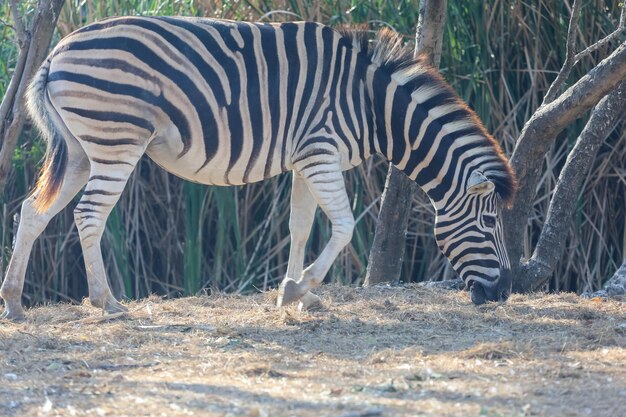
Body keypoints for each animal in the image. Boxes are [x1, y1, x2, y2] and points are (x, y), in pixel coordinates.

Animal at [1, 17, 516, 318]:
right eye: (489, 224)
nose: (505, 293)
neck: (373, 108)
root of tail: (55, 52)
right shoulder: (321, 152)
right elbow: (344, 226)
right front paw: (300, 288)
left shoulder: (307, 158)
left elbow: (300, 226)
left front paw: (295, 291)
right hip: (116, 140)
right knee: (89, 215)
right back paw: (106, 301)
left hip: (80, 148)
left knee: (32, 211)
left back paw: (14, 302)